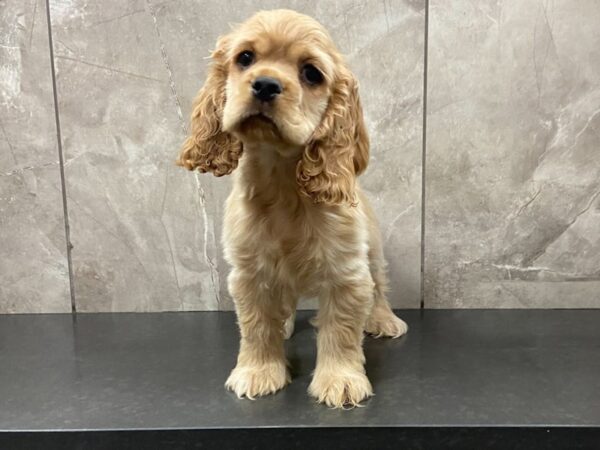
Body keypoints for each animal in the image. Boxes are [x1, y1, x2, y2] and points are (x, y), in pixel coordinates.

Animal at [176, 7, 406, 408]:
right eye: (245, 58)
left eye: (311, 73)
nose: (265, 85)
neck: (281, 180)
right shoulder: (250, 271)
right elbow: (256, 326)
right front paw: (258, 371)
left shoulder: (347, 273)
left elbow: (341, 330)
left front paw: (340, 380)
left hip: (374, 252)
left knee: (379, 285)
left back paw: (383, 319)